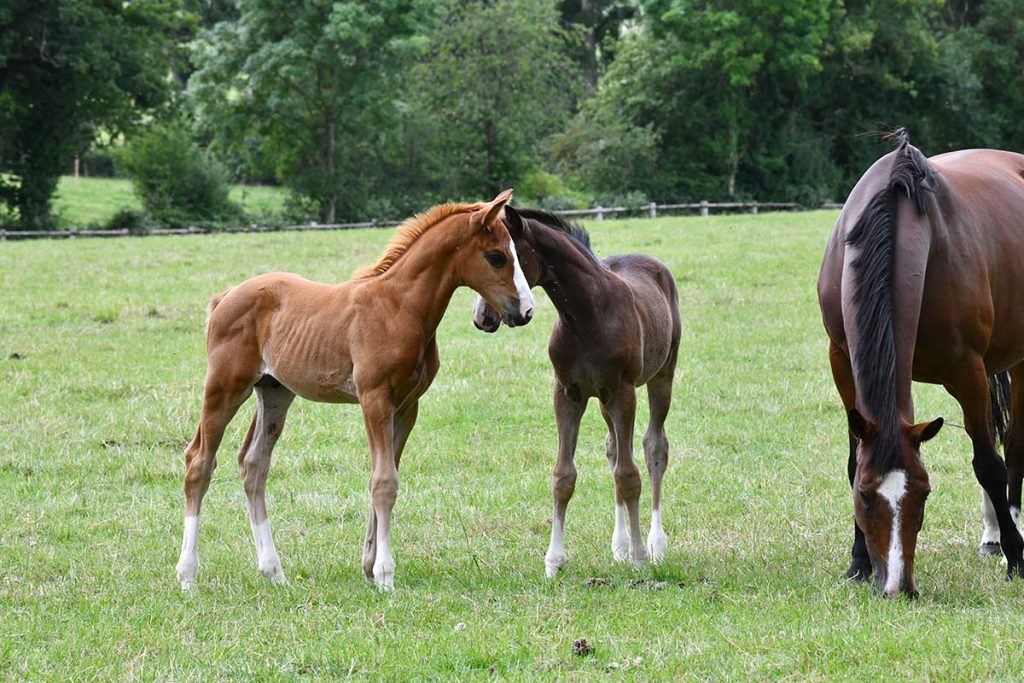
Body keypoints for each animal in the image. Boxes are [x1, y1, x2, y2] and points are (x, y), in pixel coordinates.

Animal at [174, 190, 535, 591]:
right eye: (496, 256)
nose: (525, 311)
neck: (398, 308)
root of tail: (225, 296)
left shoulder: (407, 406)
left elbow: (386, 475)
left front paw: (369, 566)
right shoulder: (374, 398)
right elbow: (383, 482)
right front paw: (385, 575)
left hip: (274, 391)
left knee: (253, 465)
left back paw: (274, 571)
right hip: (225, 386)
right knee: (199, 462)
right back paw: (188, 574)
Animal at [472, 207, 681, 577]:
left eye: (506, 258)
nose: (483, 318)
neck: (587, 316)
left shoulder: (623, 392)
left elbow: (629, 475)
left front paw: (640, 557)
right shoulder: (569, 393)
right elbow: (564, 475)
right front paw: (554, 561)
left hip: (660, 378)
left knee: (654, 447)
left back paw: (655, 544)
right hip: (603, 400)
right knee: (613, 448)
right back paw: (619, 545)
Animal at [818, 130, 1024, 596]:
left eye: (925, 493)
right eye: (865, 495)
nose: (898, 587)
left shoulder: (967, 372)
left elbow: (988, 465)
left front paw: (1018, 560)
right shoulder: (842, 360)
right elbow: (853, 458)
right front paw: (857, 562)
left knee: (1015, 446)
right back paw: (992, 536)